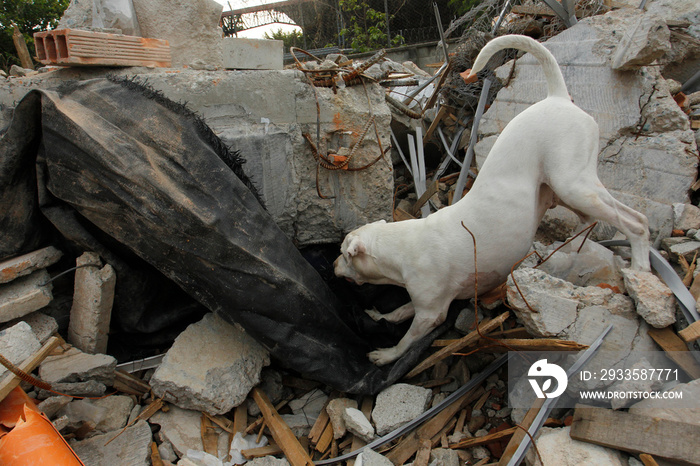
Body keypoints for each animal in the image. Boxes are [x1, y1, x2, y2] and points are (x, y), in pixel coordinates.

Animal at [334, 34, 652, 366]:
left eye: (344, 255)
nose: (332, 265)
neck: (402, 246)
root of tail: (557, 98)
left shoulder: (431, 313)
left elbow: (407, 339)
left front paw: (387, 354)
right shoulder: (425, 304)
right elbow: (399, 312)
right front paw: (380, 315)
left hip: (573, 184)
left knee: (636, 221)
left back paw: (640, 268)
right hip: (560, 190)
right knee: (596, 219)